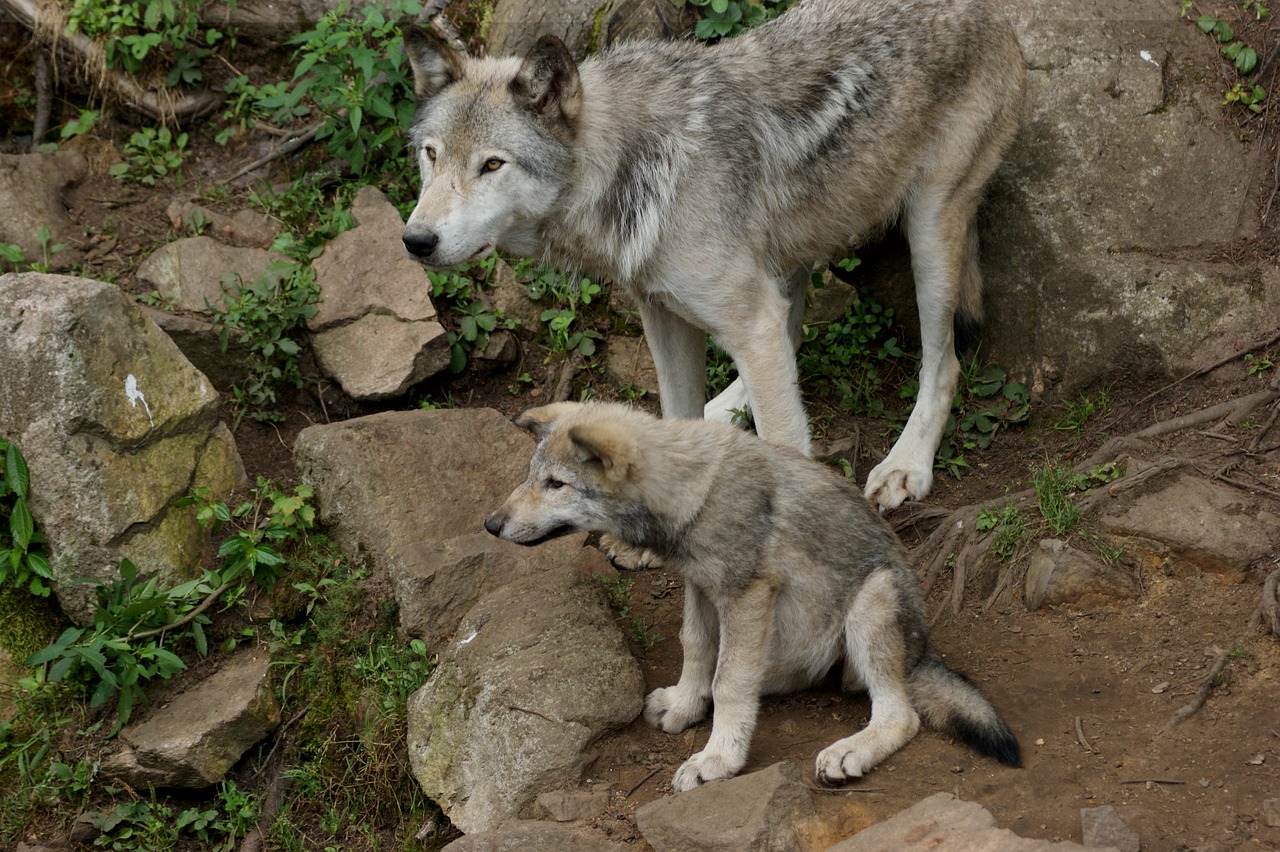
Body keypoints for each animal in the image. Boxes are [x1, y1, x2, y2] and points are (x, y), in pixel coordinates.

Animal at [400, 0, 1026, 512]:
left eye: (492, 164)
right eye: (431, 155)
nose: (416, 241)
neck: (630, 168)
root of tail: (997, 12)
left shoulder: (746, 319)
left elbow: (787, 441)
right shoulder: (664, 317)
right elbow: (682, 404)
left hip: (928, 228)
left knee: (943, 364)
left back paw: (905, 465)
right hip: (785, 253)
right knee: (791, 335)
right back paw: (722, 414)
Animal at [485, 401, 1021, 792]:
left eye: (556, 484)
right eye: (532, 477)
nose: (491, 524)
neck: (694, 492)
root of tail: (922, 653)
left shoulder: (747, 595)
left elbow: (728, 683)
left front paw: (718, 760)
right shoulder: (703, 588)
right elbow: (697, 650)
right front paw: (685, 705)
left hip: (872, 601)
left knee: (901, 715)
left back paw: (848, 752)